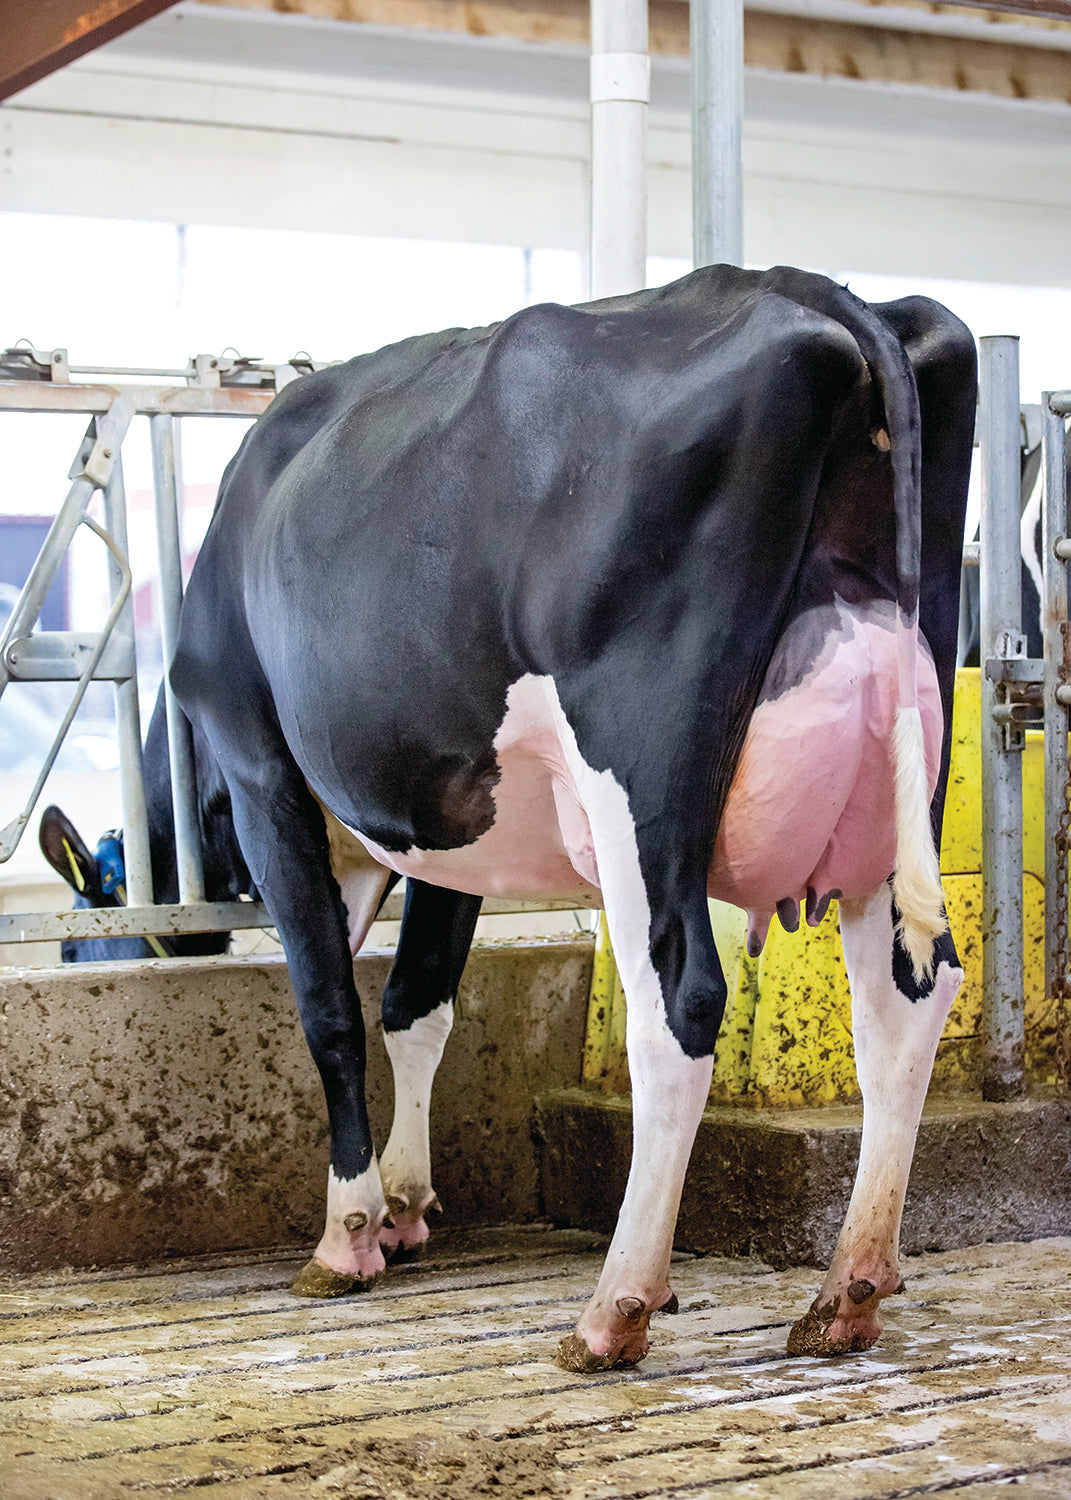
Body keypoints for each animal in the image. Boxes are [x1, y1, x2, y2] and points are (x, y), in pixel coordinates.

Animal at [160, 263, 975, 1372]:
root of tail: (805, 292)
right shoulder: (455, 822)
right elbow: (417, 1000)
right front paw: (407, 1204)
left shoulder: (258, 767)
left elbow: (328, 1005)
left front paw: (350, 1232)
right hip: (903, 786)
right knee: (904, 1001)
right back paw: (847, 1291)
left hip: (637, 772)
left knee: (680, 1001)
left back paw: (614, 1310)